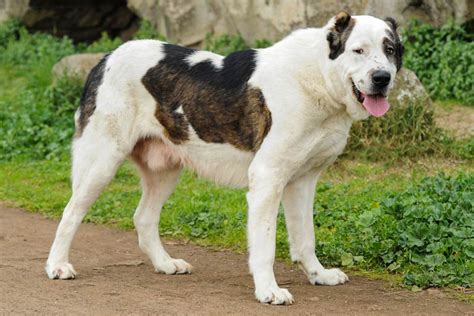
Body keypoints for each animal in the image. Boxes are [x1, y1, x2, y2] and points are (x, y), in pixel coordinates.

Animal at [46, 11, 404, 304]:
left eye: (389, 50)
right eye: (358, 50)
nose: (382, 78)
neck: (317, 76)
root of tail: (106, 58)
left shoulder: (302, 182)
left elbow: (305, 239)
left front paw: (319, 275)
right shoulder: (267, 178)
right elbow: (265, 245)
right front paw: (268, 290)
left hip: (165, 170)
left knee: (143, 217)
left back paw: (164, 264)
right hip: (101, 163)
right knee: (71, 212)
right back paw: (58, 265)